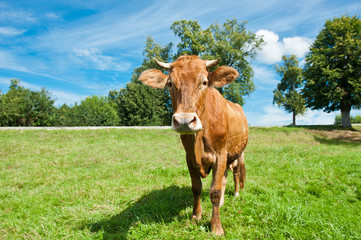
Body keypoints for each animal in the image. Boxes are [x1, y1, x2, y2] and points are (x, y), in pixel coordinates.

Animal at [139, 55, 248, 235]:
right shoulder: (189, 157)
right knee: (225, 177)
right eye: (170, 83)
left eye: (204, 82)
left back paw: (237, 194)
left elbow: (215, 190)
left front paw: (216, 227)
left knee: (237, 173)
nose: (184, 121)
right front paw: (196, 215)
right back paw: (223, 201)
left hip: (239, 153)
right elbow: (196, 187)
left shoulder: (220, 154)